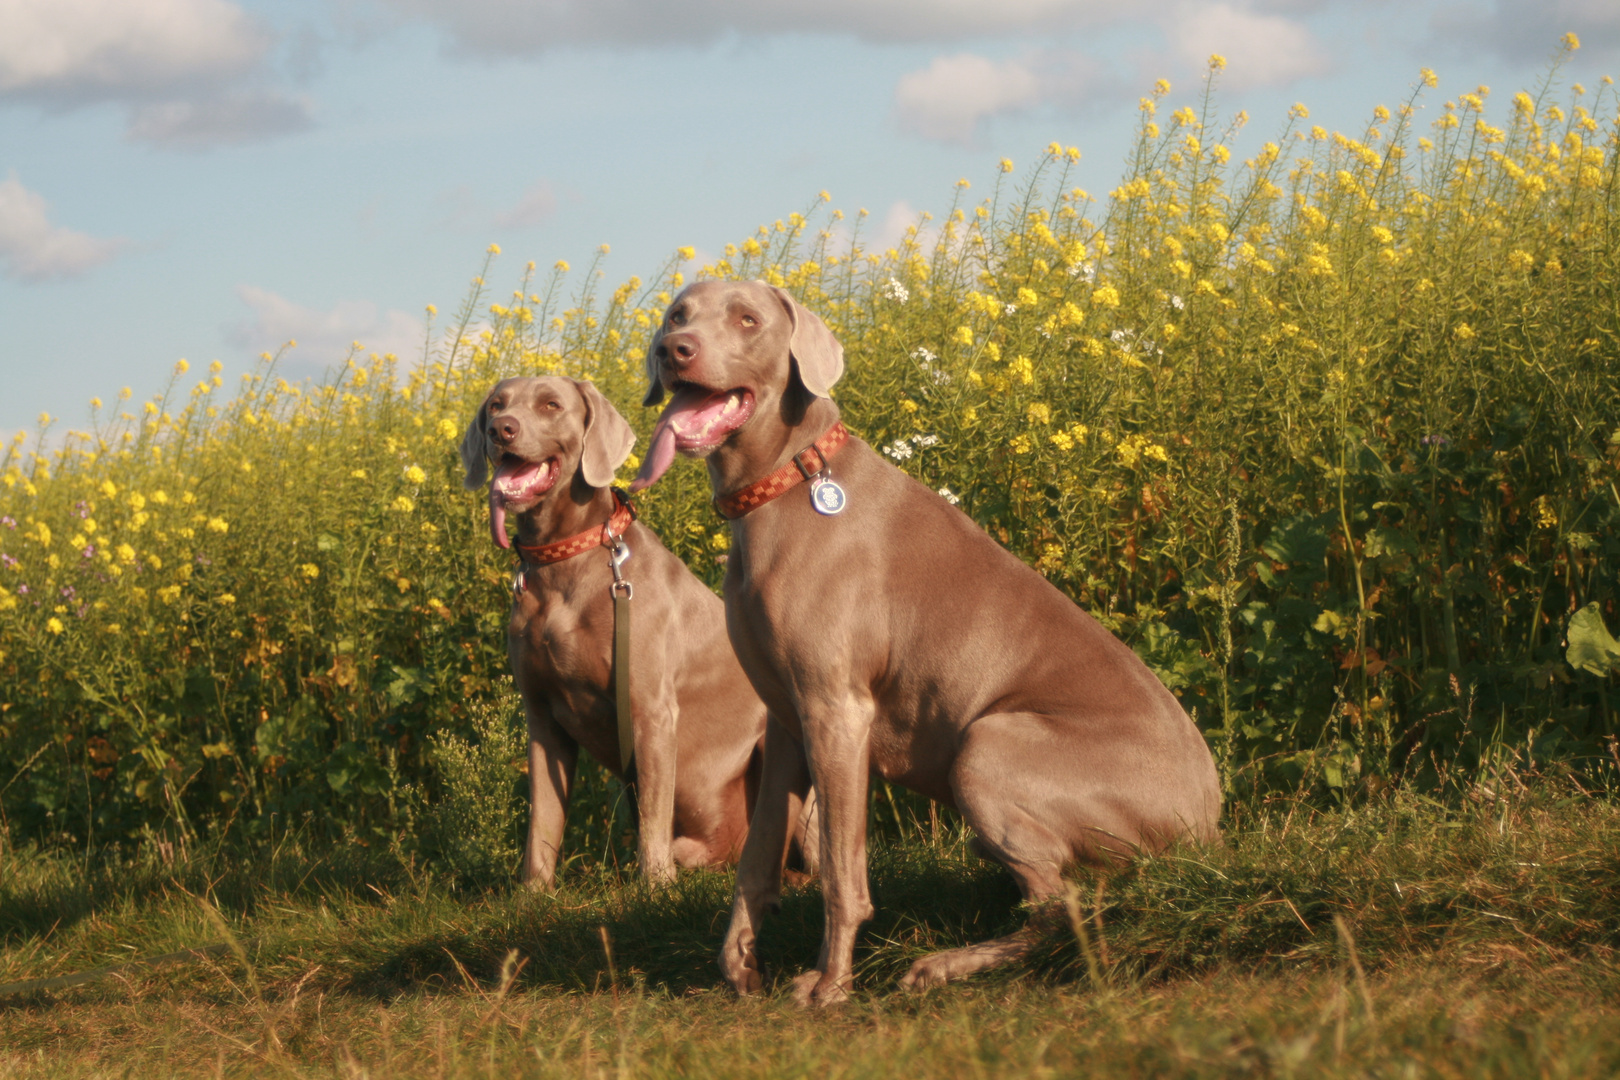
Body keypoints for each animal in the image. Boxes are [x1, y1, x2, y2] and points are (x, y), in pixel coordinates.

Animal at [463, 378, 810, 887]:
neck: (563, 560)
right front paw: (533, 892)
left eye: (551, 405)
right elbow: (543, 820)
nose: (500, 429)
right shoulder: (543, 719)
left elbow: (651, 810)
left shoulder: (651, 711)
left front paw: (655, 886)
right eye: (495, 405)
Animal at [625, 281, 1218, 1003]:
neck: (789, 476)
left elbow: (841, 873)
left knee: (1062, 908)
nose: (672, 351)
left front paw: (830, 985)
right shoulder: (787, 719)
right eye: (677, 315)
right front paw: (740, 965)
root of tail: (1208, 828)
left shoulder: (837, 710)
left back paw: (941, 964)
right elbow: (757, 858)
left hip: (988, 744)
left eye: (747, 320)